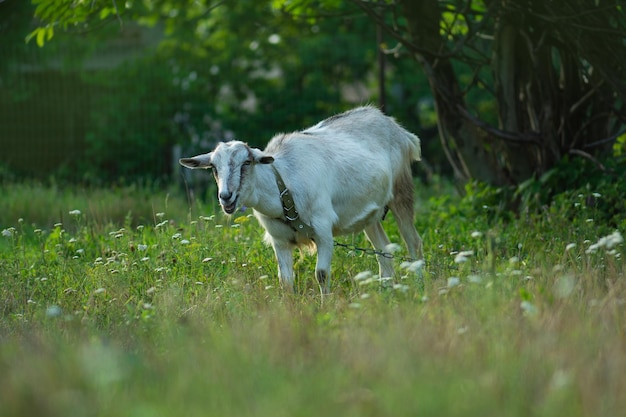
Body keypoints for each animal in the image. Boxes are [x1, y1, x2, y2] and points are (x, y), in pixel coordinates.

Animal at [180, 105, 424, 294]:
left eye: (247, 163)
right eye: (213, 167)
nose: (226, 197)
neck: (284, 186)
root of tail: (400, 131)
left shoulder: (324, 230)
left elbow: (322, 274)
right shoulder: (279, 240)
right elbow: (285, 281)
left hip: (402, 190)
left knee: (413, 242)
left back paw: (419, 287)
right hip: (370, 214)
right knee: (384, 250)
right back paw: (386, 292)